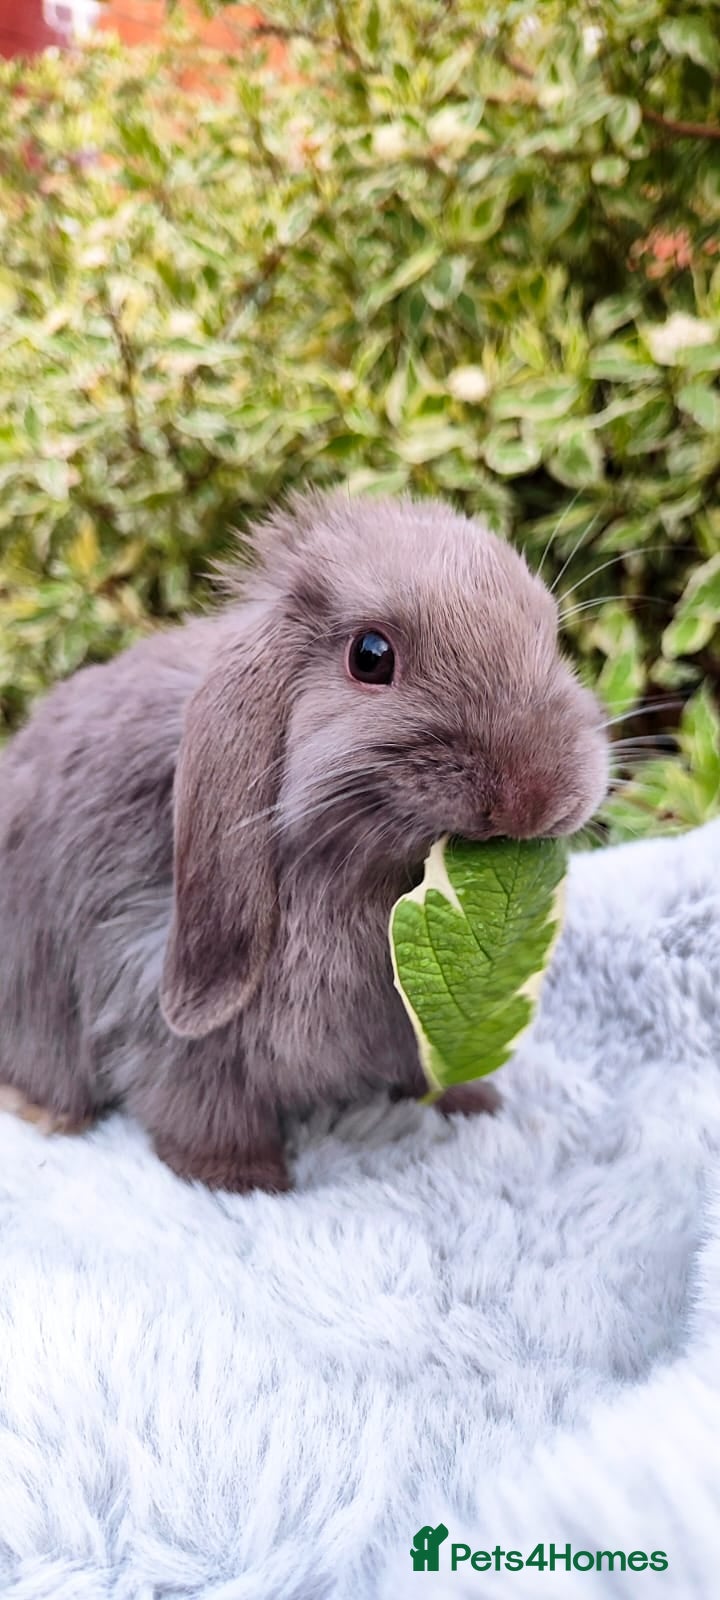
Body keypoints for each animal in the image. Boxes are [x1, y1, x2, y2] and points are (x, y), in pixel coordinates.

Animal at [0, 489, 609, 1192]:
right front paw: (243, 1180)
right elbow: (198, 1103)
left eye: (549, 635)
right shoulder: (154, 996)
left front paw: (474, 1103)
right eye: (370, 656)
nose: (535, 797)